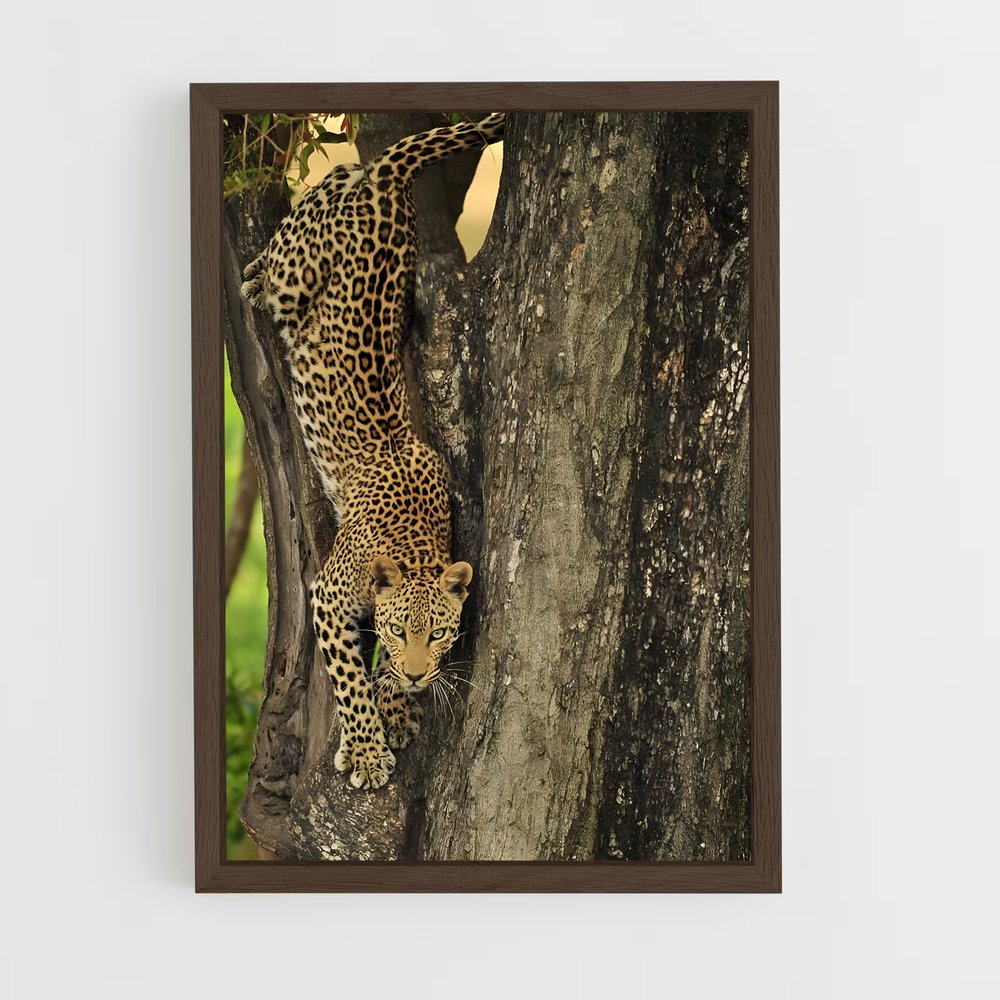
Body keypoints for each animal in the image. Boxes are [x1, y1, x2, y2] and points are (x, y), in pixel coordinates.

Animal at [240, 113, 504, 790]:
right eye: (400, 628)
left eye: (440, 634)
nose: (417, 674)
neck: (412, 544)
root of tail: (388, 186)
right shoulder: (328, 600)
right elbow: (349, 680)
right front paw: (366, 750)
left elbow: (374, 676)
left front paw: (398, 705)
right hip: (296, 275)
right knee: (286, 241)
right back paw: (250, 273)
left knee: (337, 175)